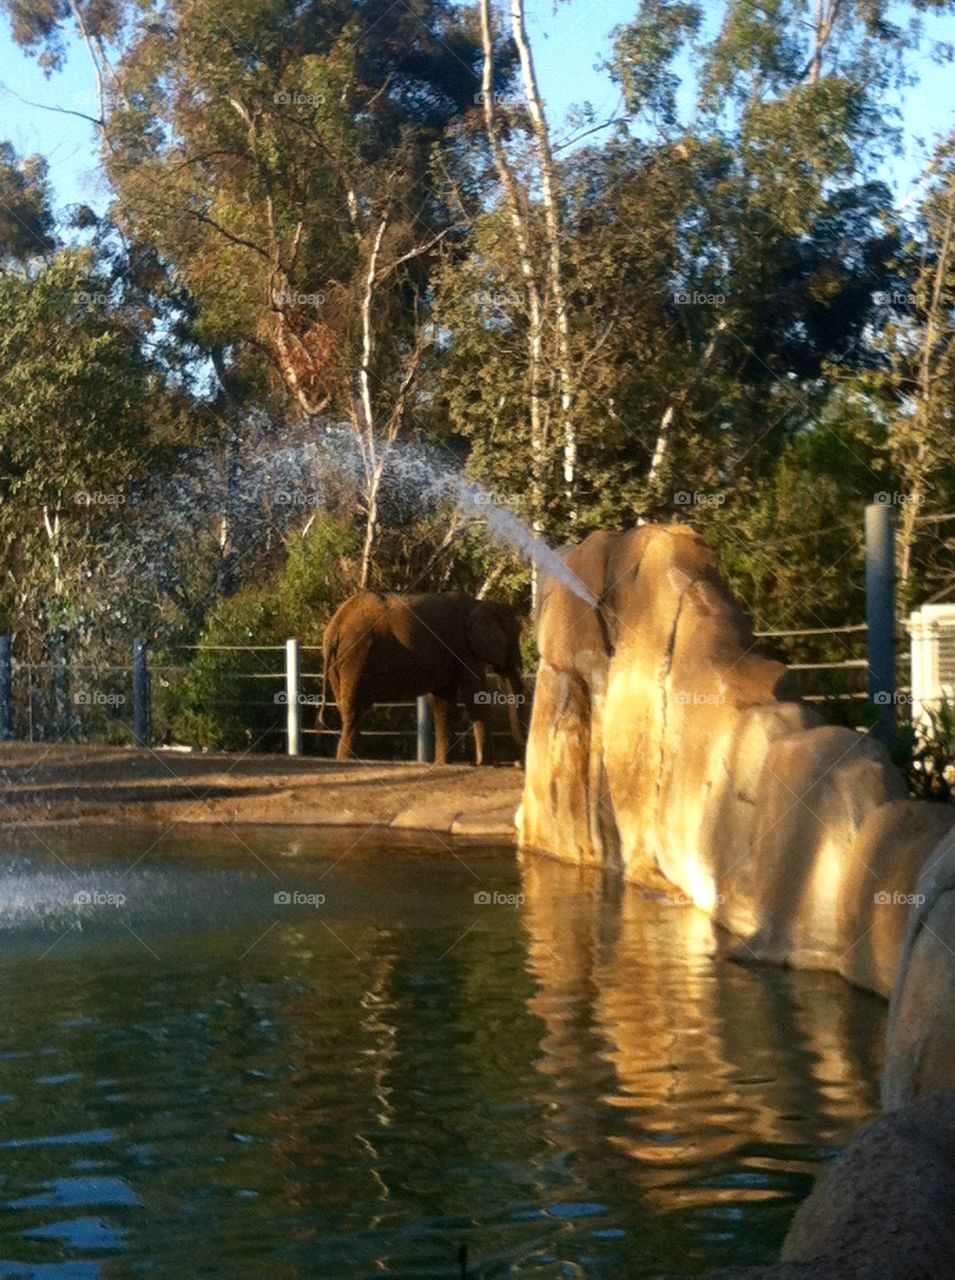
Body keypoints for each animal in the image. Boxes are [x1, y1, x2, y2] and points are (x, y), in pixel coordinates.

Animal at [320, 591, 527, 762]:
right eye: (514, 639)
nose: (518, 763)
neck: (480, 604)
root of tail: (336, 626)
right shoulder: (463, 647)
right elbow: (475, 697)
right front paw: (485, 764)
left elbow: (443, 703)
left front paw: (443, 764)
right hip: (355, 655)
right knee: (354, 712)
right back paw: (346, 761)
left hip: (339, 662)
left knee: (347, 710)